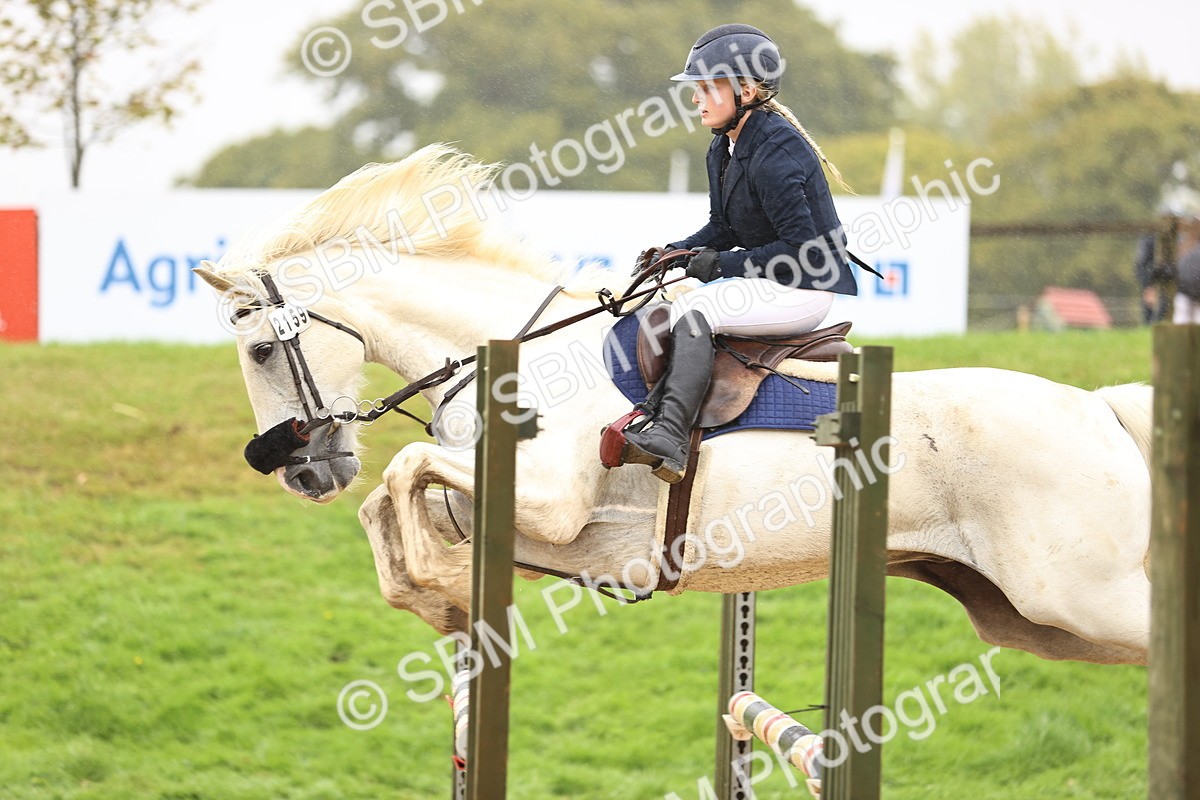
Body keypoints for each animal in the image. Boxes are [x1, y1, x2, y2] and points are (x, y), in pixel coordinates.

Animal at [194, 144, 1153, 665]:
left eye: (260, 350)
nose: (302, 470)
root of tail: (1100, 410)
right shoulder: (528, 518)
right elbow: (391, 506)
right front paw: (434, 595)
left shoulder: (552, 500)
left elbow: (402, 469)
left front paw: (433, 582)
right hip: (1033, 618)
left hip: (1077, 594)